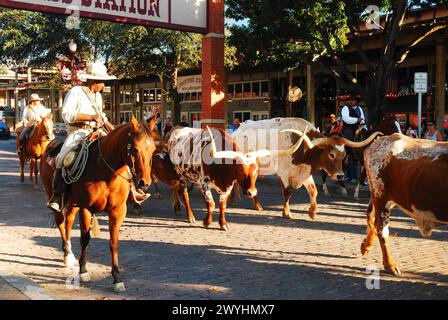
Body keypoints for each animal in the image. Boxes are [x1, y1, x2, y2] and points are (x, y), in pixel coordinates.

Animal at [39, 115, 158, 292]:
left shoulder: (117, 211)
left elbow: (114, 242)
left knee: (68, 223)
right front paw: (83, 271)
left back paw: (70, 254)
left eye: (153, 150)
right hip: (56, 198)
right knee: (60, 222)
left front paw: (117, 278)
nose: (144, 183)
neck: (106, 172)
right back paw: (67, 255)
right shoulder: (86, 208)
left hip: (72, 203)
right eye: (135, 149)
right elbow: (85, 238)